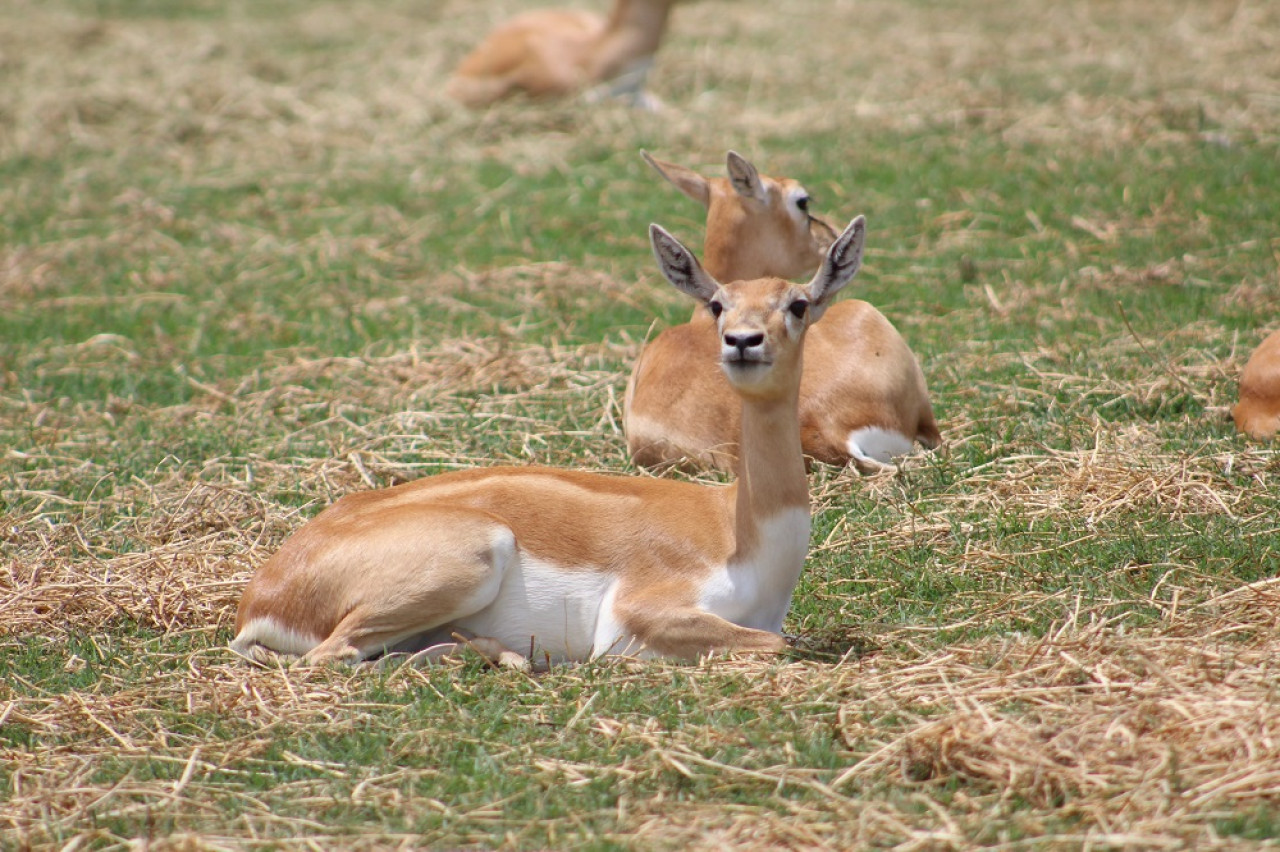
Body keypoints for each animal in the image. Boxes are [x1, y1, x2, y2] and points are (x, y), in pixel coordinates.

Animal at [230, 216, 870, 665]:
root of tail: (262, 594)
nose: (743, 341)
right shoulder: (639, 613)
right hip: (473, 554)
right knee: (331, 656)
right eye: (717, 304)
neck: (741, 532)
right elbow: (781, 644)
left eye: (799, 303)